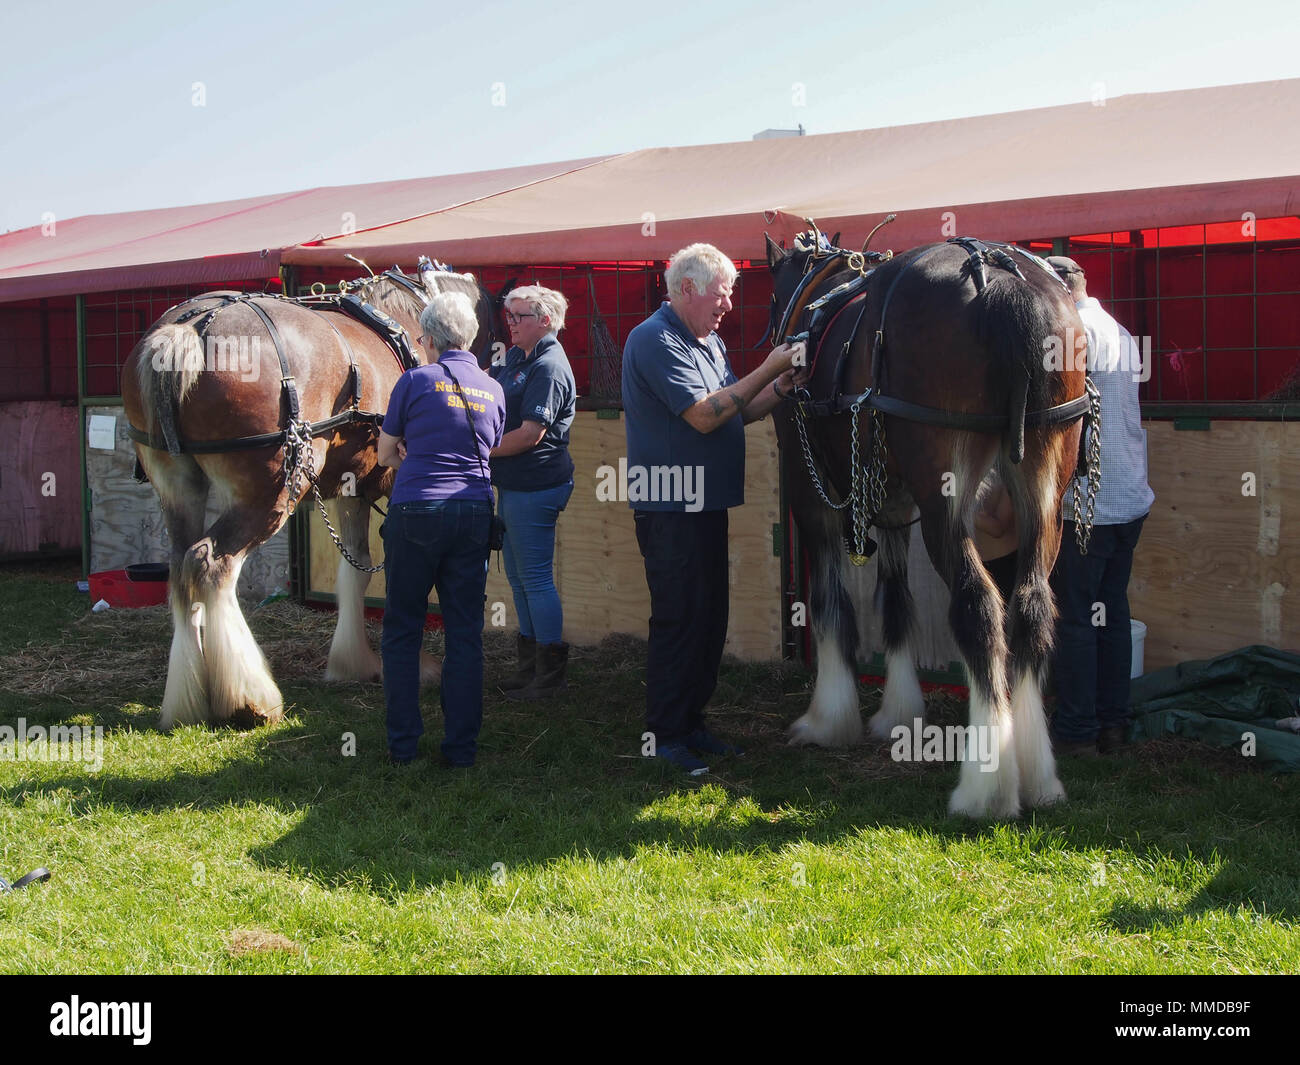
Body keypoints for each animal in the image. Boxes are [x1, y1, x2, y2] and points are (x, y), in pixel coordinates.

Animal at [122, 263, 499, 733]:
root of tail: (192, 328)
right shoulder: (400, 487)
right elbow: (402, 574)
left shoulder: (352, 488)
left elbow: (355, 568)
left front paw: (355, 662)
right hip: (270, 492)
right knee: (211, 563)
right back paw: (250, 698)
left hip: (178, 488)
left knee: (180, 568)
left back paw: (187, 702)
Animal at [764, 228, 1092, 821]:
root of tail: (1002, 278)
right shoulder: (893, 505)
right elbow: (896, 602)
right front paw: (898, 714)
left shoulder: (810, 493)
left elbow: (830, 604)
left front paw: (828, 718)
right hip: (1045, 485)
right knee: (1031, 607)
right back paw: (1036, 774)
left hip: (947, 497)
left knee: (979, 608)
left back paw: (984, 788)